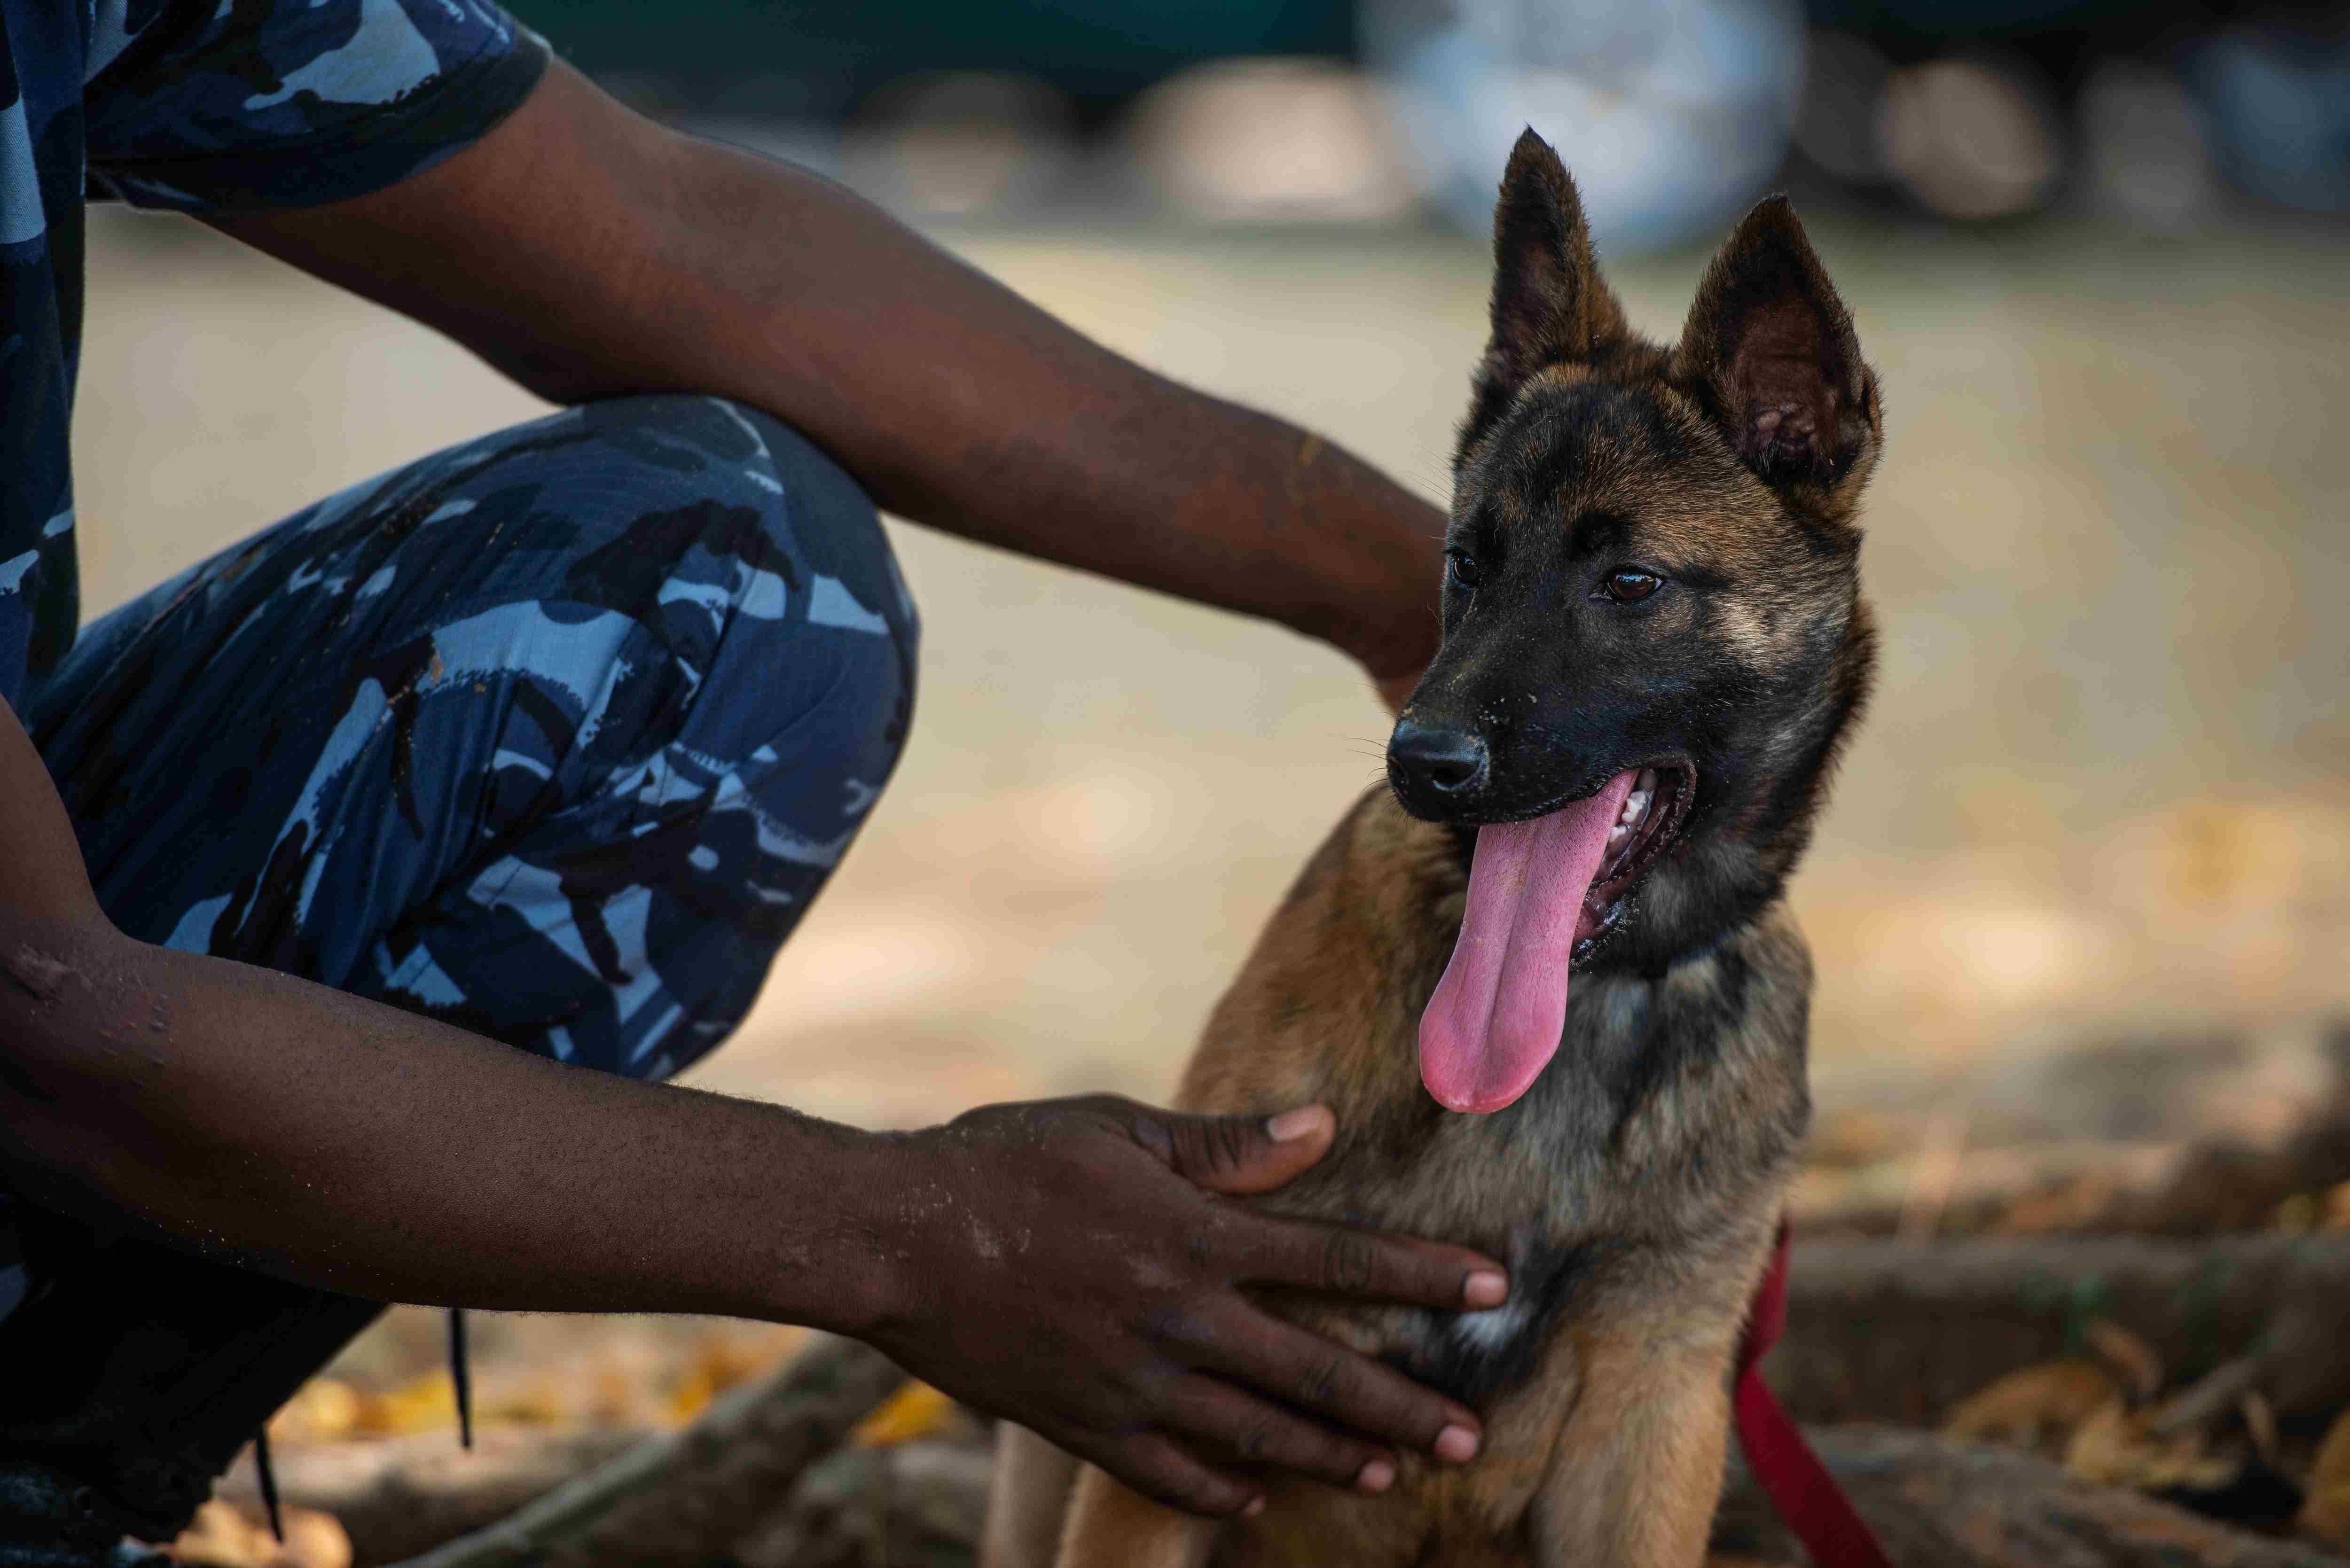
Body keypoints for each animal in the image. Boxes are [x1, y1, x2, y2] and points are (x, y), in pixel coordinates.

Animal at [982, 132, 1880, 1568]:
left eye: (1630, 585)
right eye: (1465, 562)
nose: (1424, 763)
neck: (1589, 1013)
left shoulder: (1655, 1404)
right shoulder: (1170, 1428)